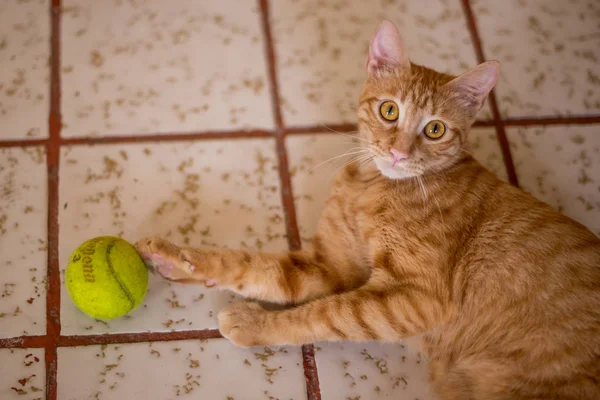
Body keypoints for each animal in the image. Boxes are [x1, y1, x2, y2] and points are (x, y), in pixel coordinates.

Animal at [136, 21, 600, 400]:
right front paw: (174, 257)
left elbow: (325, 312)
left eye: (435, 130)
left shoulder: (415, 298)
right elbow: (251, 266)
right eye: (389, 110)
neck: (373, 186)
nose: (398, 153)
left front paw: (256, 325)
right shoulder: (326, 264)